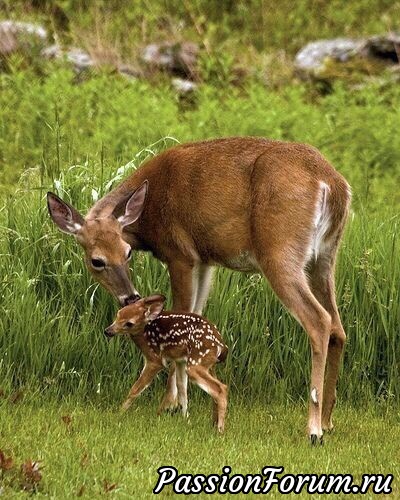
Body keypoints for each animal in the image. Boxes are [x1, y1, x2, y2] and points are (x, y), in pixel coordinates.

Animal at [47, 136, 350, 442]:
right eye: (98, 260)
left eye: (127, 252)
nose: (130, 296)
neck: (149, 214)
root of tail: (332, 183)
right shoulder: (205, 260)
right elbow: (195, 313)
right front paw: (183, 401)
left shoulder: (180, 254)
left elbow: (178, 313)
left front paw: (171, 405)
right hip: (325, 257)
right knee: (337, 328)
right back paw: (328, 421)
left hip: (280, 251)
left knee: (319, 320)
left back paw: (313, 429)